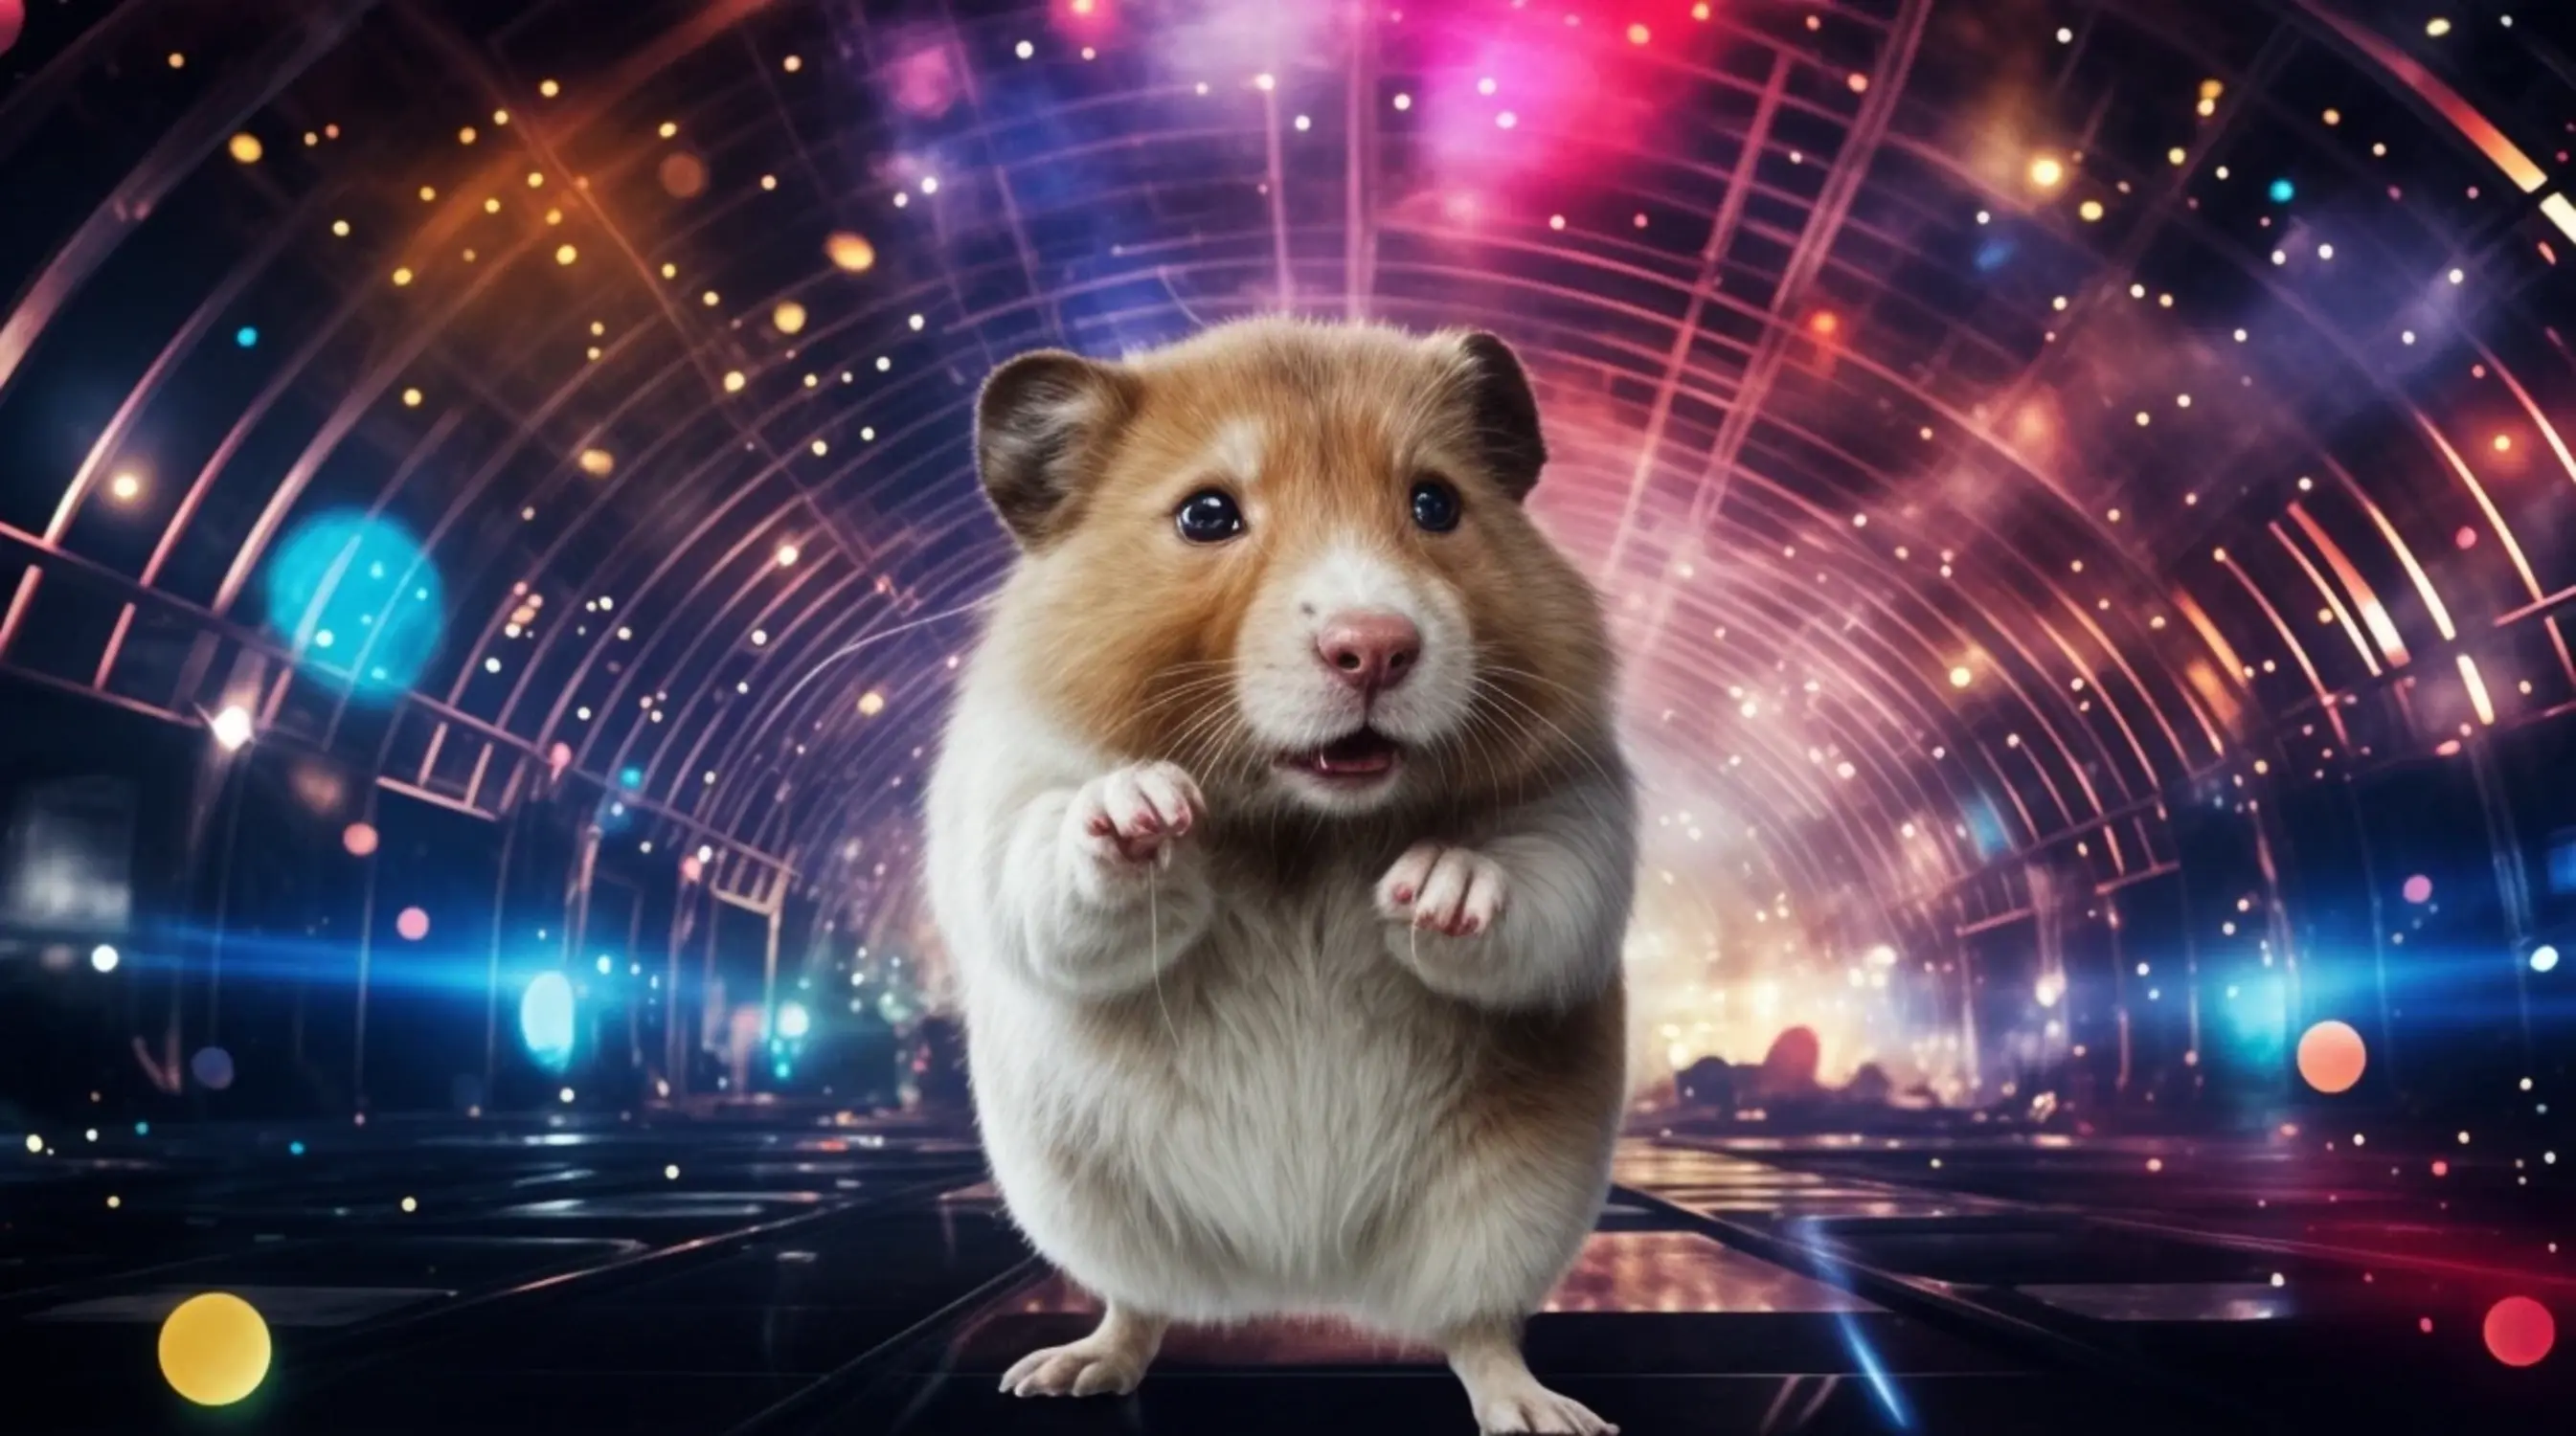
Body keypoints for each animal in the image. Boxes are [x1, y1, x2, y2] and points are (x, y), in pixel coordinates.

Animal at [925, 318, 1635, 1436]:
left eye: (1435, 503)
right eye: (1206, 514)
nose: (1374, 648)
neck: (1301, 825)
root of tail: (1300, 1272)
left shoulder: (1583, 808)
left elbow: (1538, 883)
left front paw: (1432, 887)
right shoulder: (1001, 799)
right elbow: (1048, 869)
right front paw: (1140, 811)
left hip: (1511, 1210)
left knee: (1477, 1327)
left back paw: (1541, 1414)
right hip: (1083, 1204)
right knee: (1138, 1306)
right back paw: (1066, 1371)